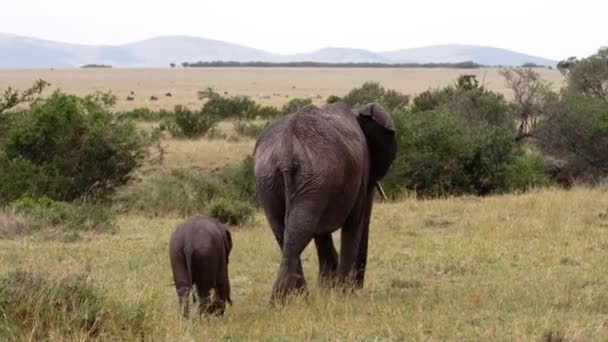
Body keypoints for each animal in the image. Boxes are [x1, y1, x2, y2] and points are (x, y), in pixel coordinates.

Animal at [254, 102, 396, 302]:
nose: (358, 287)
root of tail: (287, 151)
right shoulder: (360, 172)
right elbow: (354, 223)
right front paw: (343, 293)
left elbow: (323, 233)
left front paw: (329, 289)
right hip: (310, 176)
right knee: (299, 229)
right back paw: (289, 298)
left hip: (273, 179)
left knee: (286, 231)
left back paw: (291, 298)